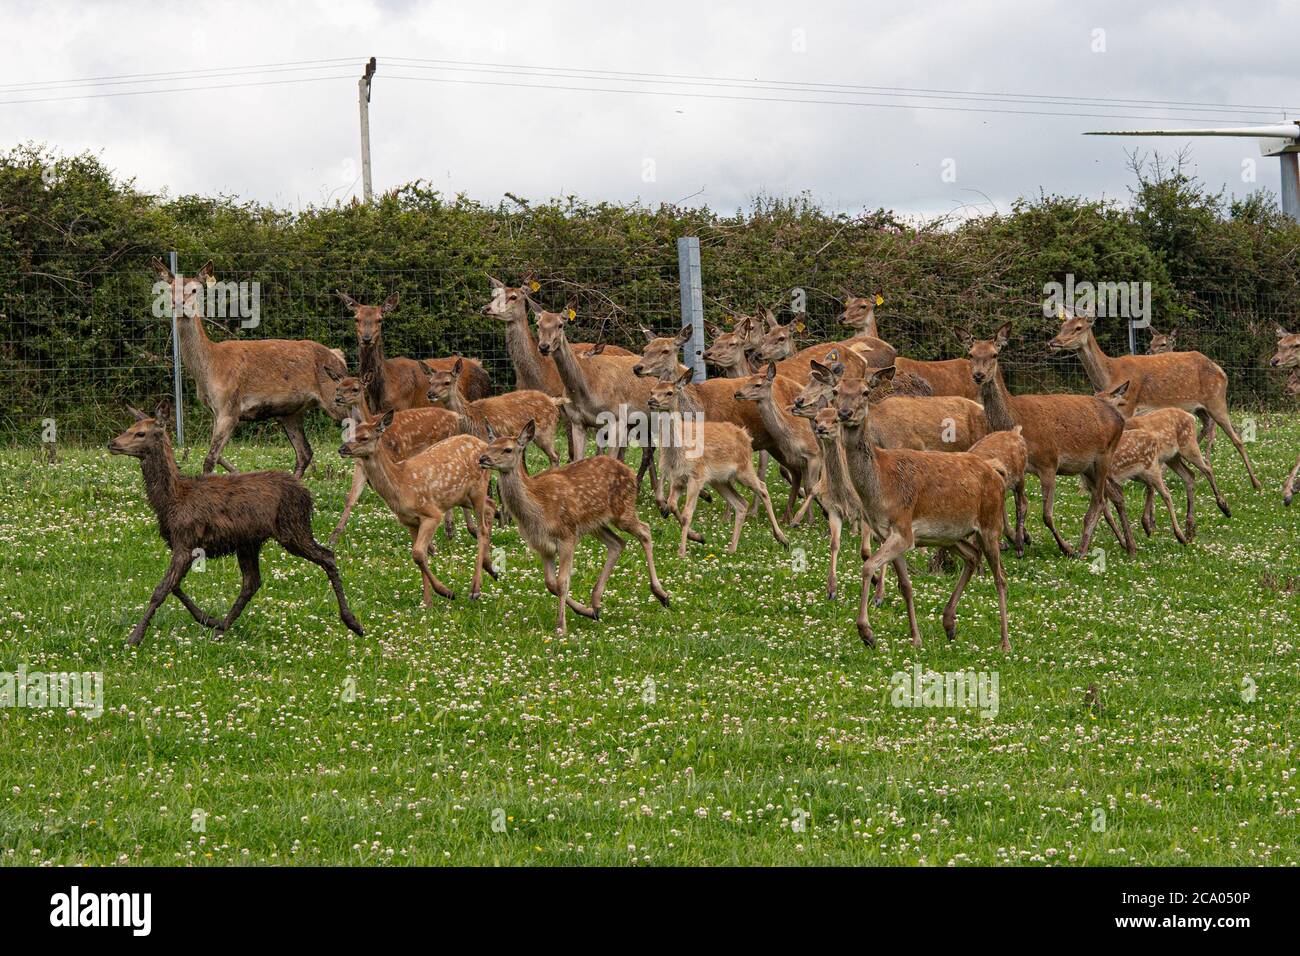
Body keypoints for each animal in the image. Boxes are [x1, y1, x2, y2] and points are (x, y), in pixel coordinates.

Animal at [109, 403, 364, 642]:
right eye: (129, 428)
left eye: (140, 433)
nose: (112, 443)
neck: (170, 500)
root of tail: (307, 494)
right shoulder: (182, 545)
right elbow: (175, 587)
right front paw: (209, 619)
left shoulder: (186, 540)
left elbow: (161, 590)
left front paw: (135, 637)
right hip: (249, 541)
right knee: (252, 582)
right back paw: (221, 628)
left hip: (293, 528)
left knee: (327, 556)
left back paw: (354, 623)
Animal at [150, 257, 351, 478]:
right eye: (170, 288)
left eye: (195, 290)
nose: (178, 304)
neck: (208, 369)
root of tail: (338, 356)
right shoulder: (215, 411)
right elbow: (214, 455)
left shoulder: (229, 406)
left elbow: (209, 459)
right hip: (291, 412)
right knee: (304, 452)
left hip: (335, 398)